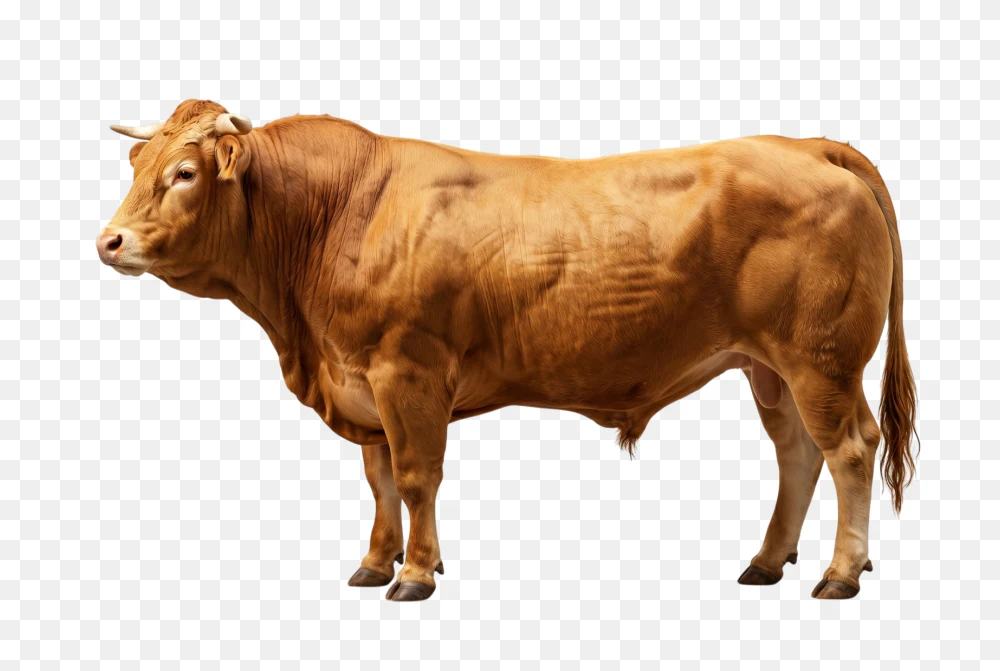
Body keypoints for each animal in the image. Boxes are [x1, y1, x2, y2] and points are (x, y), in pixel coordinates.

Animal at [98, 100, 917, 601]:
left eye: (184, 174)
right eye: (136, 169)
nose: (110, 241)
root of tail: (811, 146)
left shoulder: (407, 369)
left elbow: (417, 476)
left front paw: (415, 574)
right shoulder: (364, 382)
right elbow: (380, 480)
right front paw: (376, 561)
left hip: (821, 360)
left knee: (849, 448)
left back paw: (840, 572)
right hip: (768, 367)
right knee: (797, 453)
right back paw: (768, 560)